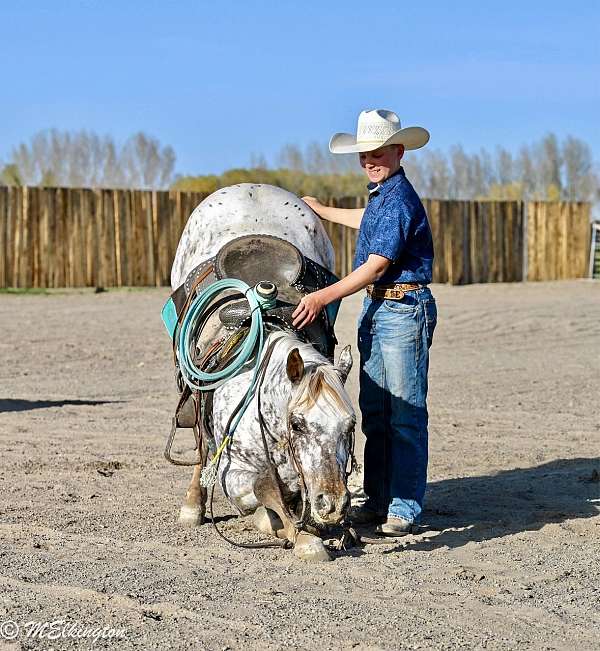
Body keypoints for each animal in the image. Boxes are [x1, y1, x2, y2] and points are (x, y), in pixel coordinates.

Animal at [170, 183, 356, 561]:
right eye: (297, 424)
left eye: (351, 425)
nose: (332, 504)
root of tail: (252, 187)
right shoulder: (234, 475)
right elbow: (263, 499)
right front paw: (299, 536)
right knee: (200, 443)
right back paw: (193, 506)